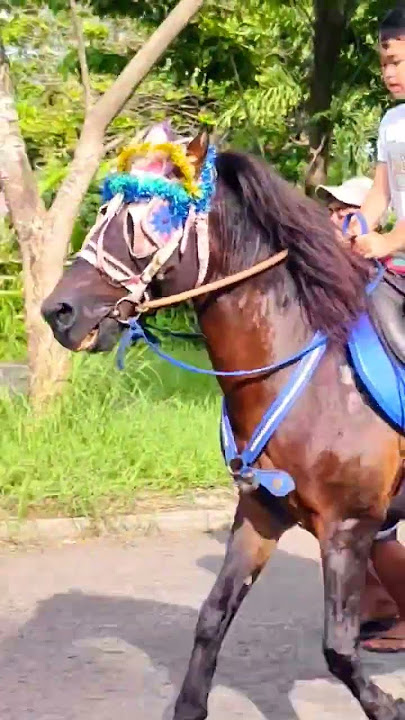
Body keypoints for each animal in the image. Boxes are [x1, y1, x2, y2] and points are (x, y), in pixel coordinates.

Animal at [41, 124, 405, 720]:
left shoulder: (348, 526)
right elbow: (212, 617)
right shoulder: (262, 512)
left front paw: (388, 705)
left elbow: (338, 648)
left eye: (145, 220)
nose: (59, 312)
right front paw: (189, 705)